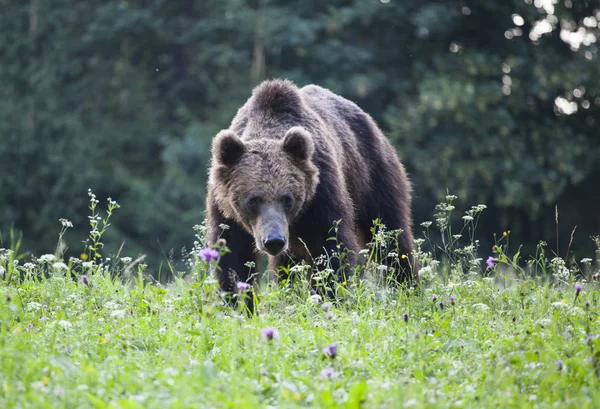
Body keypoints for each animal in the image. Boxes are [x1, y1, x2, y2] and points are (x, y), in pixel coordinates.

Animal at [204, 78, 414, 298]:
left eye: (287, 198)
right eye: (253, 199)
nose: (274, 240)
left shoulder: (322, 192)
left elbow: (330, 246)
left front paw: (329, 294)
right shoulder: (224, 207)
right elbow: (231, 256)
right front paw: (236, 298)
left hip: (372, 175)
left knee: (390, 235)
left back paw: (408, 287)